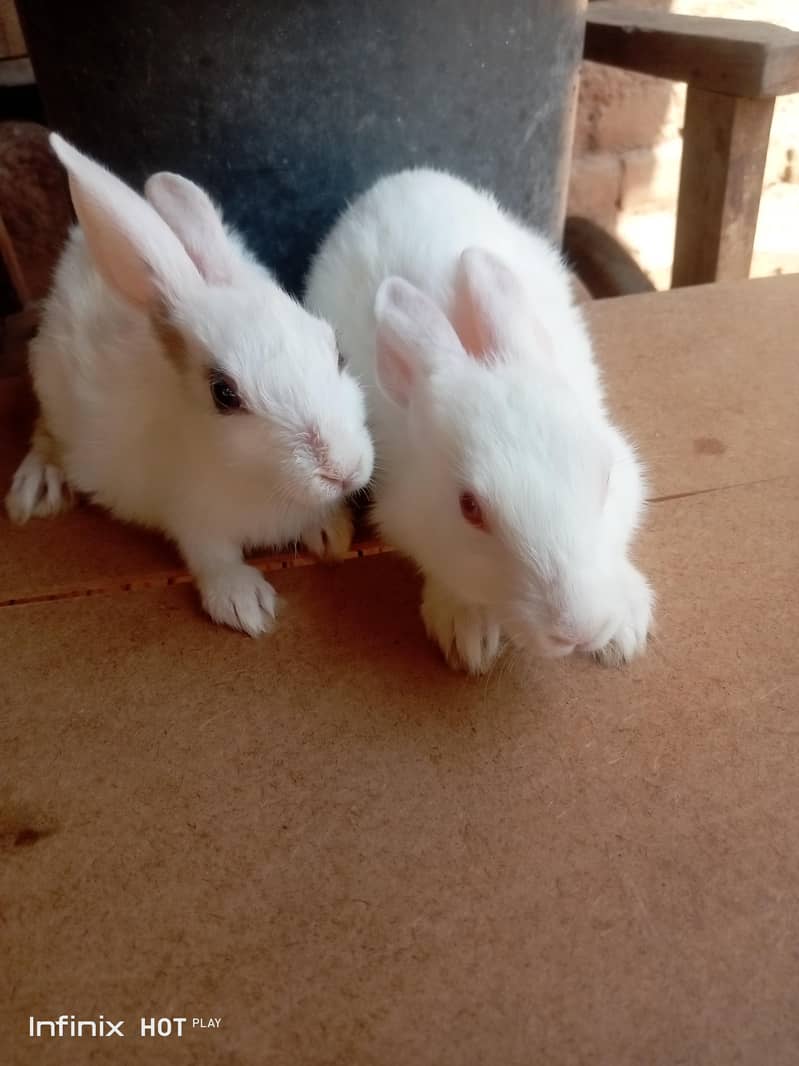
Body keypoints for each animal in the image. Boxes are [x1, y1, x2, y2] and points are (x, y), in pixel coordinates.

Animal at [5, 134, 374, 636]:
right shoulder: (193, 519)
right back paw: (36, 489)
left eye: (336, 350)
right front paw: (245, 605)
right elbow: (213, 558)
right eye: (224, 394)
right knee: (44, 434)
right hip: (49, 381)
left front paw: (330, 533)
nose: (344, 470)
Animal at [305, 168, 653, 674]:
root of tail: (403, 177)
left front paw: (626, 625)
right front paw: (466, 632)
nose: (579, 629)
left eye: (605, 477)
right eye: (470, 509)